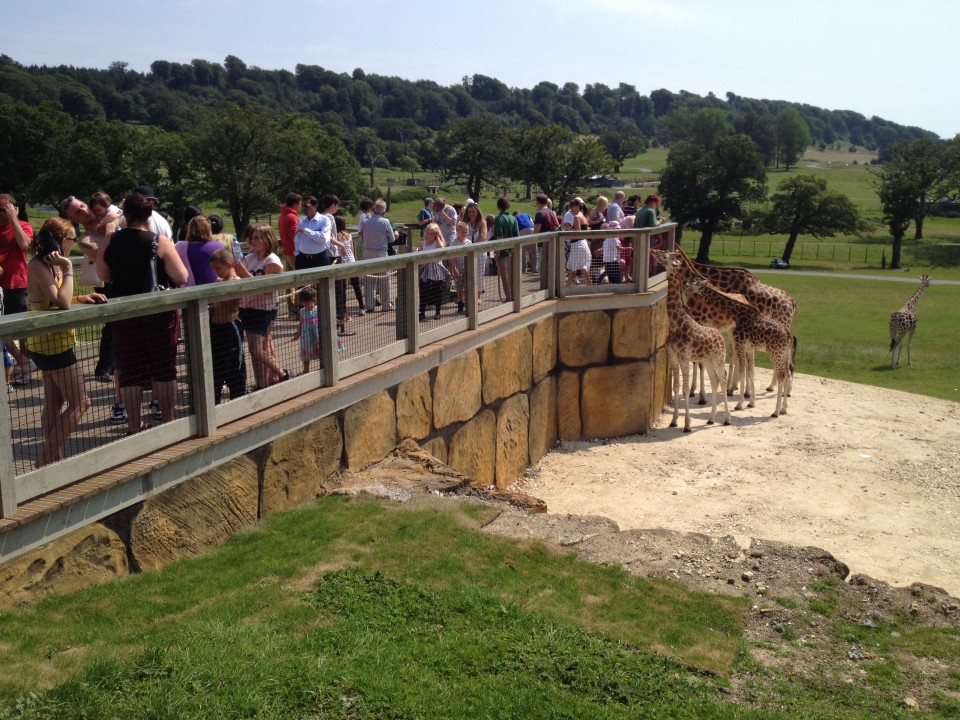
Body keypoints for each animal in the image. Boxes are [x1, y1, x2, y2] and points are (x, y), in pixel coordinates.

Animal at [656, 248, 732, 430]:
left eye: (665, 256)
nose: (653, 251)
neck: (675, 323)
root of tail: (720, 335)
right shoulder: (673, 357)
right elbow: (676, 387)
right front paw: (674, 421)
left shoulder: (685, 357)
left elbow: (684, 389)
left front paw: (687, 424)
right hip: (707, 359)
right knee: (714, 381)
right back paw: (711, 419)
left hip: (719, 358)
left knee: (723, 380)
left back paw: (727, 419)